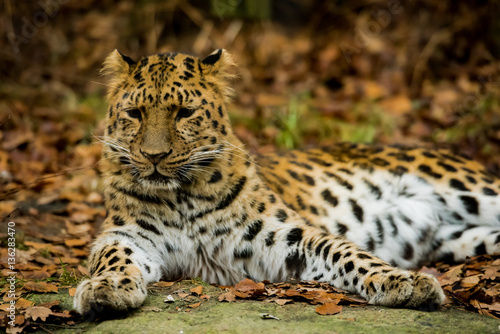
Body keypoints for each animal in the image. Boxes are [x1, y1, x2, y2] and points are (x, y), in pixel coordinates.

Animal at [73, 48, 500, 314]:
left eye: (184, 113)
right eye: (134, 114)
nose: (154, 156)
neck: (182, 198)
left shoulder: (283, 234)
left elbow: (346, 252)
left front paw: (402, 281)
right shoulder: (129, 235)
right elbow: (113, 257)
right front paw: (106, 288)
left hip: (471, 189)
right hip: (461, 240)